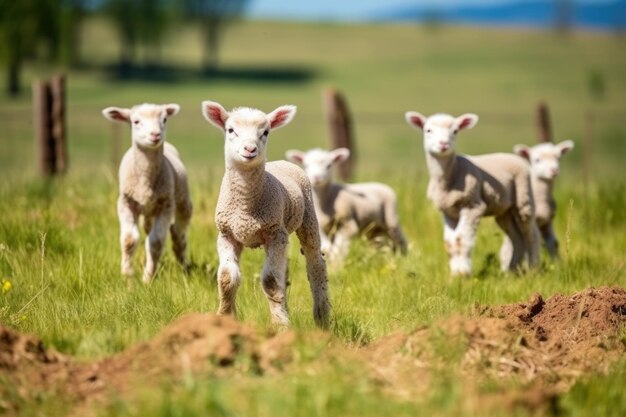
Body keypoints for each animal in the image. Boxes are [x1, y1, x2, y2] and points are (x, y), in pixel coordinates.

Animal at [102, 102, 193, 282]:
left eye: (164, 119)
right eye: (135, 121)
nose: (155, 135)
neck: (145, 181)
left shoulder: (166, 205)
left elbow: (155, 242)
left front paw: (148, 278)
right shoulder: (126, 202)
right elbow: (129, 239)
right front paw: (127, 275)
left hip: (182, 200)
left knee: (178, 233)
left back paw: (183, 266)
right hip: (148, 211)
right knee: (148, 228)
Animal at [201, 99, 330, 326]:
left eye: (266, 132)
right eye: (230, 130)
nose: (250, 149)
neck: (245, 206)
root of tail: (281, 162)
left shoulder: (274, 232)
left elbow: (270, 281)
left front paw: (280, 325)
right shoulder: (226, 234)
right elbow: (227, 278)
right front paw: (224, 317)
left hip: (307, 219)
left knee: (316, 264)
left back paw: (322, 316)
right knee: (284, 273)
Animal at [402, 110, 540, 276]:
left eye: (455, 131)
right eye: (428, 130)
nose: (443, 144)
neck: (449, 178)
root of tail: (515, 158)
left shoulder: (473, 205)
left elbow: (461, 239)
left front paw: (463, 273)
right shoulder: (448, 211)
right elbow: (450, 242)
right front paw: (455, 273)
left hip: (524, 198)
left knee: (531, 234)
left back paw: (533, 269)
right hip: (505, 211)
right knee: (517, 238)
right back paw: (511, 271)